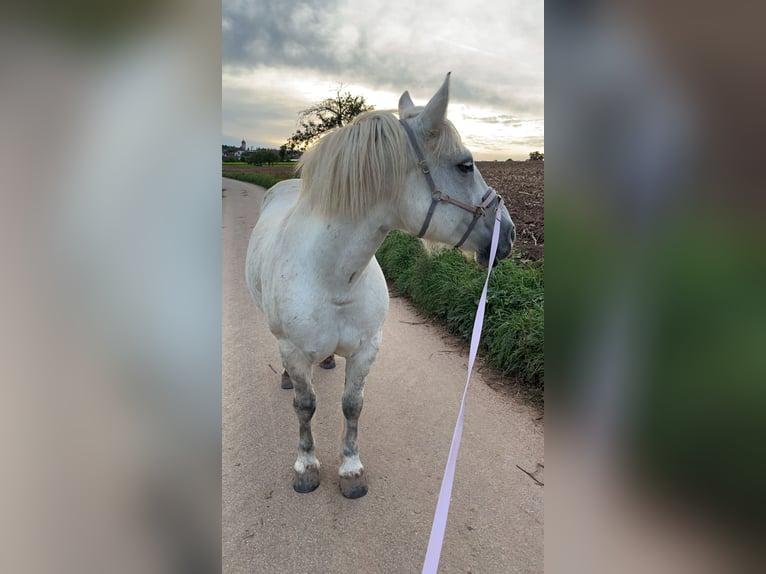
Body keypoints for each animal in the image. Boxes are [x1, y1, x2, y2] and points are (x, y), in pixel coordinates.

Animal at [249, 75, 520, 500]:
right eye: (465, 164)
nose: (509, 234)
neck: (333, 277)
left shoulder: (367, 349)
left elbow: (352, 405)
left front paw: (351, 469)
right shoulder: (293, 349)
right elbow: (305, 406)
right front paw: (307, 466)